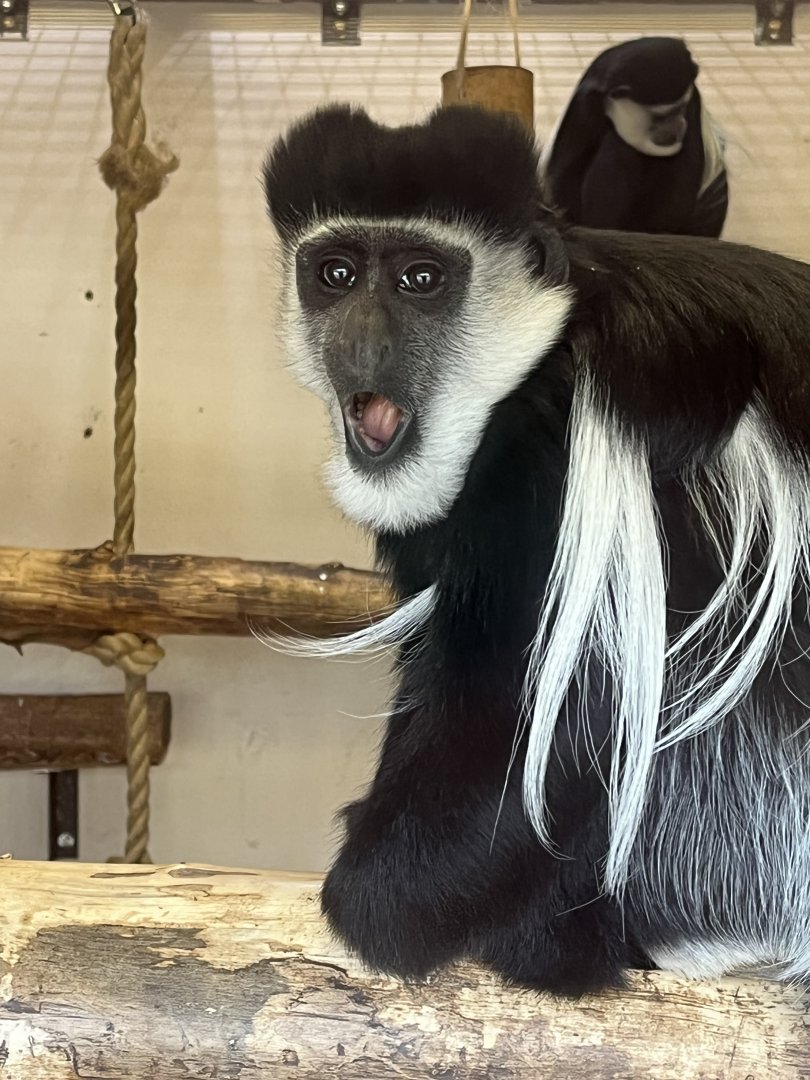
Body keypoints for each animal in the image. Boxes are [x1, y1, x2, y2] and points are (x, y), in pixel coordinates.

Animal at [262, 103, 810, 995]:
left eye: (421, 279)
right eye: (334, 274)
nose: (359, 341)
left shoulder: (557, 445)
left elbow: (534, 729)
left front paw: (375, 899)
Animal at [541, 37, 728, 237]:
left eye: (681, 108)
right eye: (661, 116)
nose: (679, 126)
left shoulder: (694, 102)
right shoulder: (584, 106)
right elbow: (565, 171)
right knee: (619, 146)